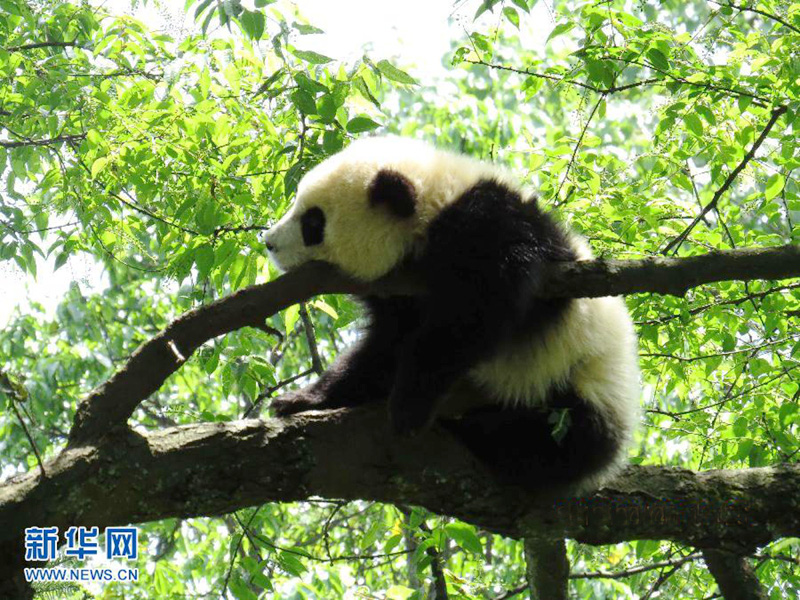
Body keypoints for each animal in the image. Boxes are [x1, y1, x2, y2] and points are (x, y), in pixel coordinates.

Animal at [266, 137, 640, 492]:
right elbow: (387, 346)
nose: (268, 241)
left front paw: (408, 406)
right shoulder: (401, 289)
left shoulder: (492, 231)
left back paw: (471, 428)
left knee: (547, 445)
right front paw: (302, 399)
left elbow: (470, 319)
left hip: (578, 383)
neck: (433, 207)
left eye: (313, 222)